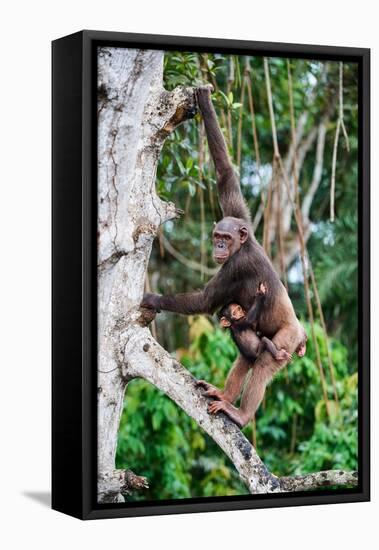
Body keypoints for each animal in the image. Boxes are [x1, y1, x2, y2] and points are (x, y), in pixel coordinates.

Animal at [142, 86, 306, 432]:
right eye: (218, 235)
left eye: (225, 239)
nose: (218, 246)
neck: (242, 245)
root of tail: (302, 338)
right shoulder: (240, 216)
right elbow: (226, 175)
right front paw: (203, 99)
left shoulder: (236, 267)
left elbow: (204, 299)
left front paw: (151, 298)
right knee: (247, 355)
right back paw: (224, 394)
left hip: (287, 340)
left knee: (266, 360)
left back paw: (240, 414)